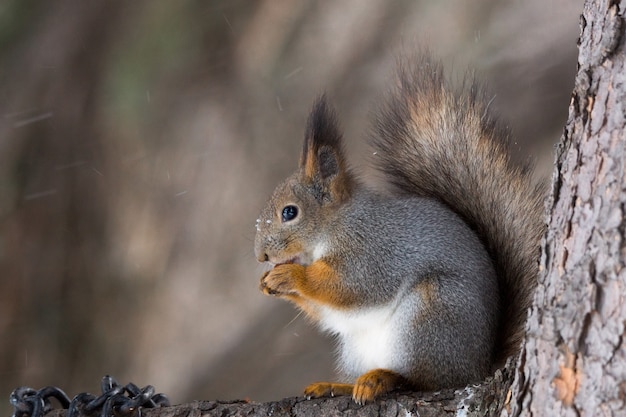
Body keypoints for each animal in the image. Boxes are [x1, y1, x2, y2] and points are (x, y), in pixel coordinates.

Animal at [252, 55, 540, 404]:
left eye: (289, 212)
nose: (261, 256)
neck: (336, 225)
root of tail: (479, 365)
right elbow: (328, 311)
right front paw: (269, 282)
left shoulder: (372, 251)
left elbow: (350, 287)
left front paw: (290, 276)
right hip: (357, 346)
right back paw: (337, 385)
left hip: (431, 316)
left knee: (425, 380)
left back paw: (384, 378)